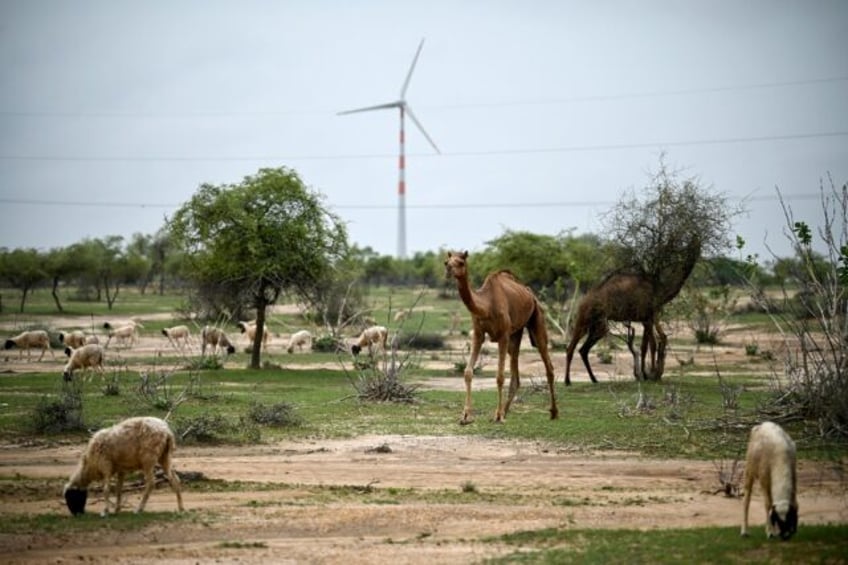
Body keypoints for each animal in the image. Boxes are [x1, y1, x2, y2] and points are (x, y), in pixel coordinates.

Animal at [444, 250, 556, 424]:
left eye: (461, 262)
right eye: (446, 262)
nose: (448, 269)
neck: (486, 305)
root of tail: (530, 294)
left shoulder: (503, 335)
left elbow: (500, 376)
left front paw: (497, 415)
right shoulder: (478, 333)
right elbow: (468, 372)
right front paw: (466, 416)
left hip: (537, 318)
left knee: (547, 364)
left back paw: (553, 412)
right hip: (516, 333)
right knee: (516, 370)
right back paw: (505, 410)